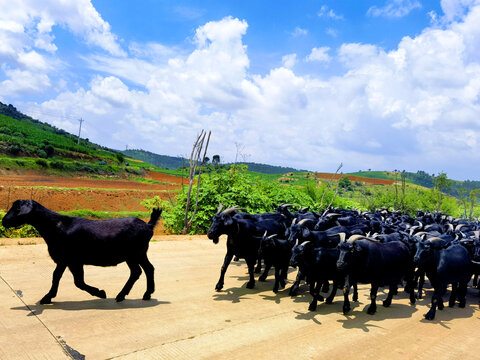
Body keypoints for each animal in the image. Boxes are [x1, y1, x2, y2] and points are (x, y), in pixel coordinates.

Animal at [1, 200, 163, 304]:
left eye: (17, 209)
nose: (3, 221)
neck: (56, 226)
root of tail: (148, 226)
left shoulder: (71, 259)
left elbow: (75, 281)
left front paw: (100, 293)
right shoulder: (66, 260)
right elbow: (61, 278)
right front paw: (48, 297)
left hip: (133, 254)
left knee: (137, 271)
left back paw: (122, 295)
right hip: (140, 253)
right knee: (148, 268)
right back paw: (147, 294)